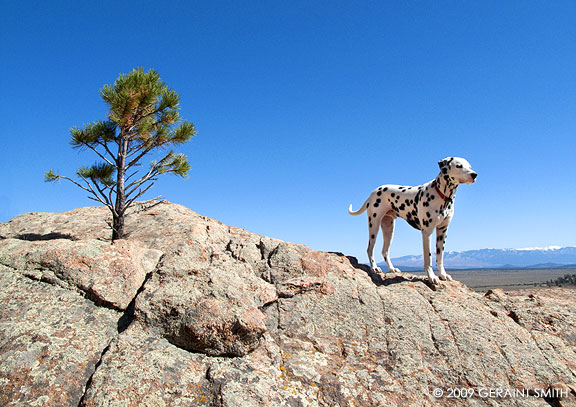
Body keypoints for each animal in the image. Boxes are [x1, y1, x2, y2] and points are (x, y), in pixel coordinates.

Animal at [352, 158, 476, 286]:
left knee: (385, 251)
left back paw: (392, 269)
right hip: (374, 225)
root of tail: (373, 192)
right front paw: (432, 277)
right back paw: (374, 267)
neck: (442, 195)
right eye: (459, 166)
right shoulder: (427, 233)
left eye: (470, 166)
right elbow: (428, 258)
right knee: (370, 249)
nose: (474, 174)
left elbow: (440, 257)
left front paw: (443, 275)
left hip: (389, 228)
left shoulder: (442, 232)